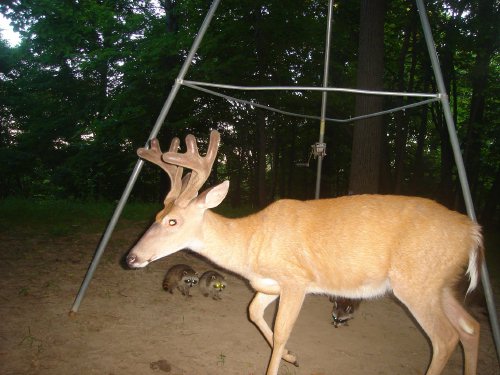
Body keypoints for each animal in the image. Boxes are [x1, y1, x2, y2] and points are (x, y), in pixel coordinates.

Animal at [126, 130, 484, 375]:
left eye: (173, 220)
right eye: (157, 214)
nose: (131, 257)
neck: (250, 243)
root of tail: (473, 233)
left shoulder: (296, 280)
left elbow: (282, 331)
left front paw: (282, 360)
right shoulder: (269, 284)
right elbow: (254, 313)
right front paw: (293, 357)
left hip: (415, 283)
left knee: (445, 338)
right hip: (440, 285)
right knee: (470, 328)